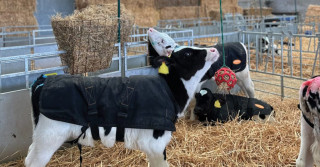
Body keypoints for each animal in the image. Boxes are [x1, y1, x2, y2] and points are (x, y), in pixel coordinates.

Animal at [24, 46, 220, 167]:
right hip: (49, 136)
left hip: (40, 135)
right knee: (34, 162)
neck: (169, 90)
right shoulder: (155, 142)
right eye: (187, 54)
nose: (213, 49)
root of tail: (44, 80)